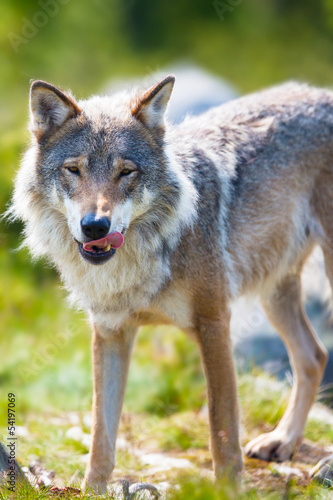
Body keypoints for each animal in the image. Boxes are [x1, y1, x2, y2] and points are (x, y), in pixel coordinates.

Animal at [8, 75, 333, 492]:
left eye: (126, 172)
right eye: (74, 169)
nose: (95, 225)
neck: (138, 262)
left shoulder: (214, 323)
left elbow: (222, 426)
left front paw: (226, 490)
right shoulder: (110, 332)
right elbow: (101, 435)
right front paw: (93, 490)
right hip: (274, 292)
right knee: (314, 356)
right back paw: (284, 440)